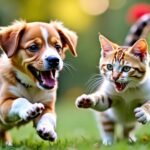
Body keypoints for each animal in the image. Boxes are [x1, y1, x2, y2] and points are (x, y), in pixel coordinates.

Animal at [75, 13, 150, 145]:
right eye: (109, 66)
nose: (114, 77)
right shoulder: (109, 94)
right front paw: (88, 100)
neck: (128, 92)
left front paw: (144, 112)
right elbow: (102, 101)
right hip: (106, 117)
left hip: (131, 123)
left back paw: (129, 139)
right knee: (107, 125)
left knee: (128, 128)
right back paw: (108, 142)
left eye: (126, 68)